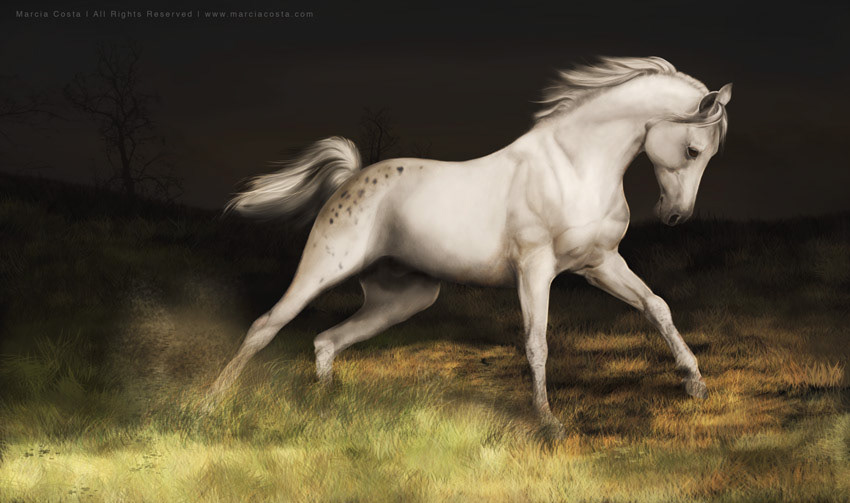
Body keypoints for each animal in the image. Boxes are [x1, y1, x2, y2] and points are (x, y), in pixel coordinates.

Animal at [209, 56, 732, 432]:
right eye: (692, 150)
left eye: (709, 155)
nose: (675, 215)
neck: (574, 166)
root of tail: (351, 179)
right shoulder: (535, 270)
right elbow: (537, 341)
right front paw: (548, 421)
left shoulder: (600, 264)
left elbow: (657, 306)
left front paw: (695, 383)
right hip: (322, 269)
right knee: (266, 326)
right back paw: (209, 404)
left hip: (402, 299)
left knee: (325, 340)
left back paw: (323, 405)